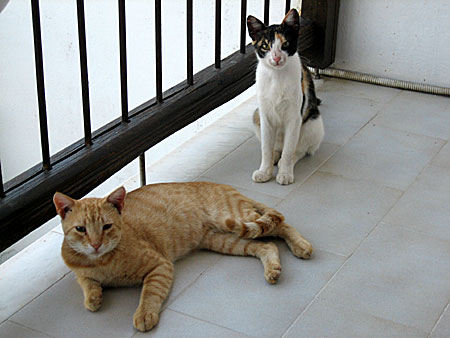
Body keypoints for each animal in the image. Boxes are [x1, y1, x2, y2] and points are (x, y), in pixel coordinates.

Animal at [53, 181, 312, 332]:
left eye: (106, 226)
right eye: (81, 229)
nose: (96, 244)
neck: (102, 262)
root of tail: (221, 184)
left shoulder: (160, 265)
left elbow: (149, 293)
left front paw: (144, 314)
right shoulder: (80, 272)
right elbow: (87, 282)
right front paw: (93, 297)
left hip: (234, 219)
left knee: (280, 224)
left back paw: (301, 245)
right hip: (225, 240)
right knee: (267, 246)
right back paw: (273, 269)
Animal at [248, 8, 326, 185]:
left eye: (285, 44)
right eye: (265, 46)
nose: (276, 57)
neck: (277, 77)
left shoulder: (294, 117)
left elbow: (290, 149)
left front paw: (284, 173)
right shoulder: (265, 116)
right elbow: (266, 148)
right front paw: (264, 171)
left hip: (313, 125)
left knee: (300, 150)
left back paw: (284, 162)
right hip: (256, 116)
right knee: (275, 148)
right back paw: (274, 158)